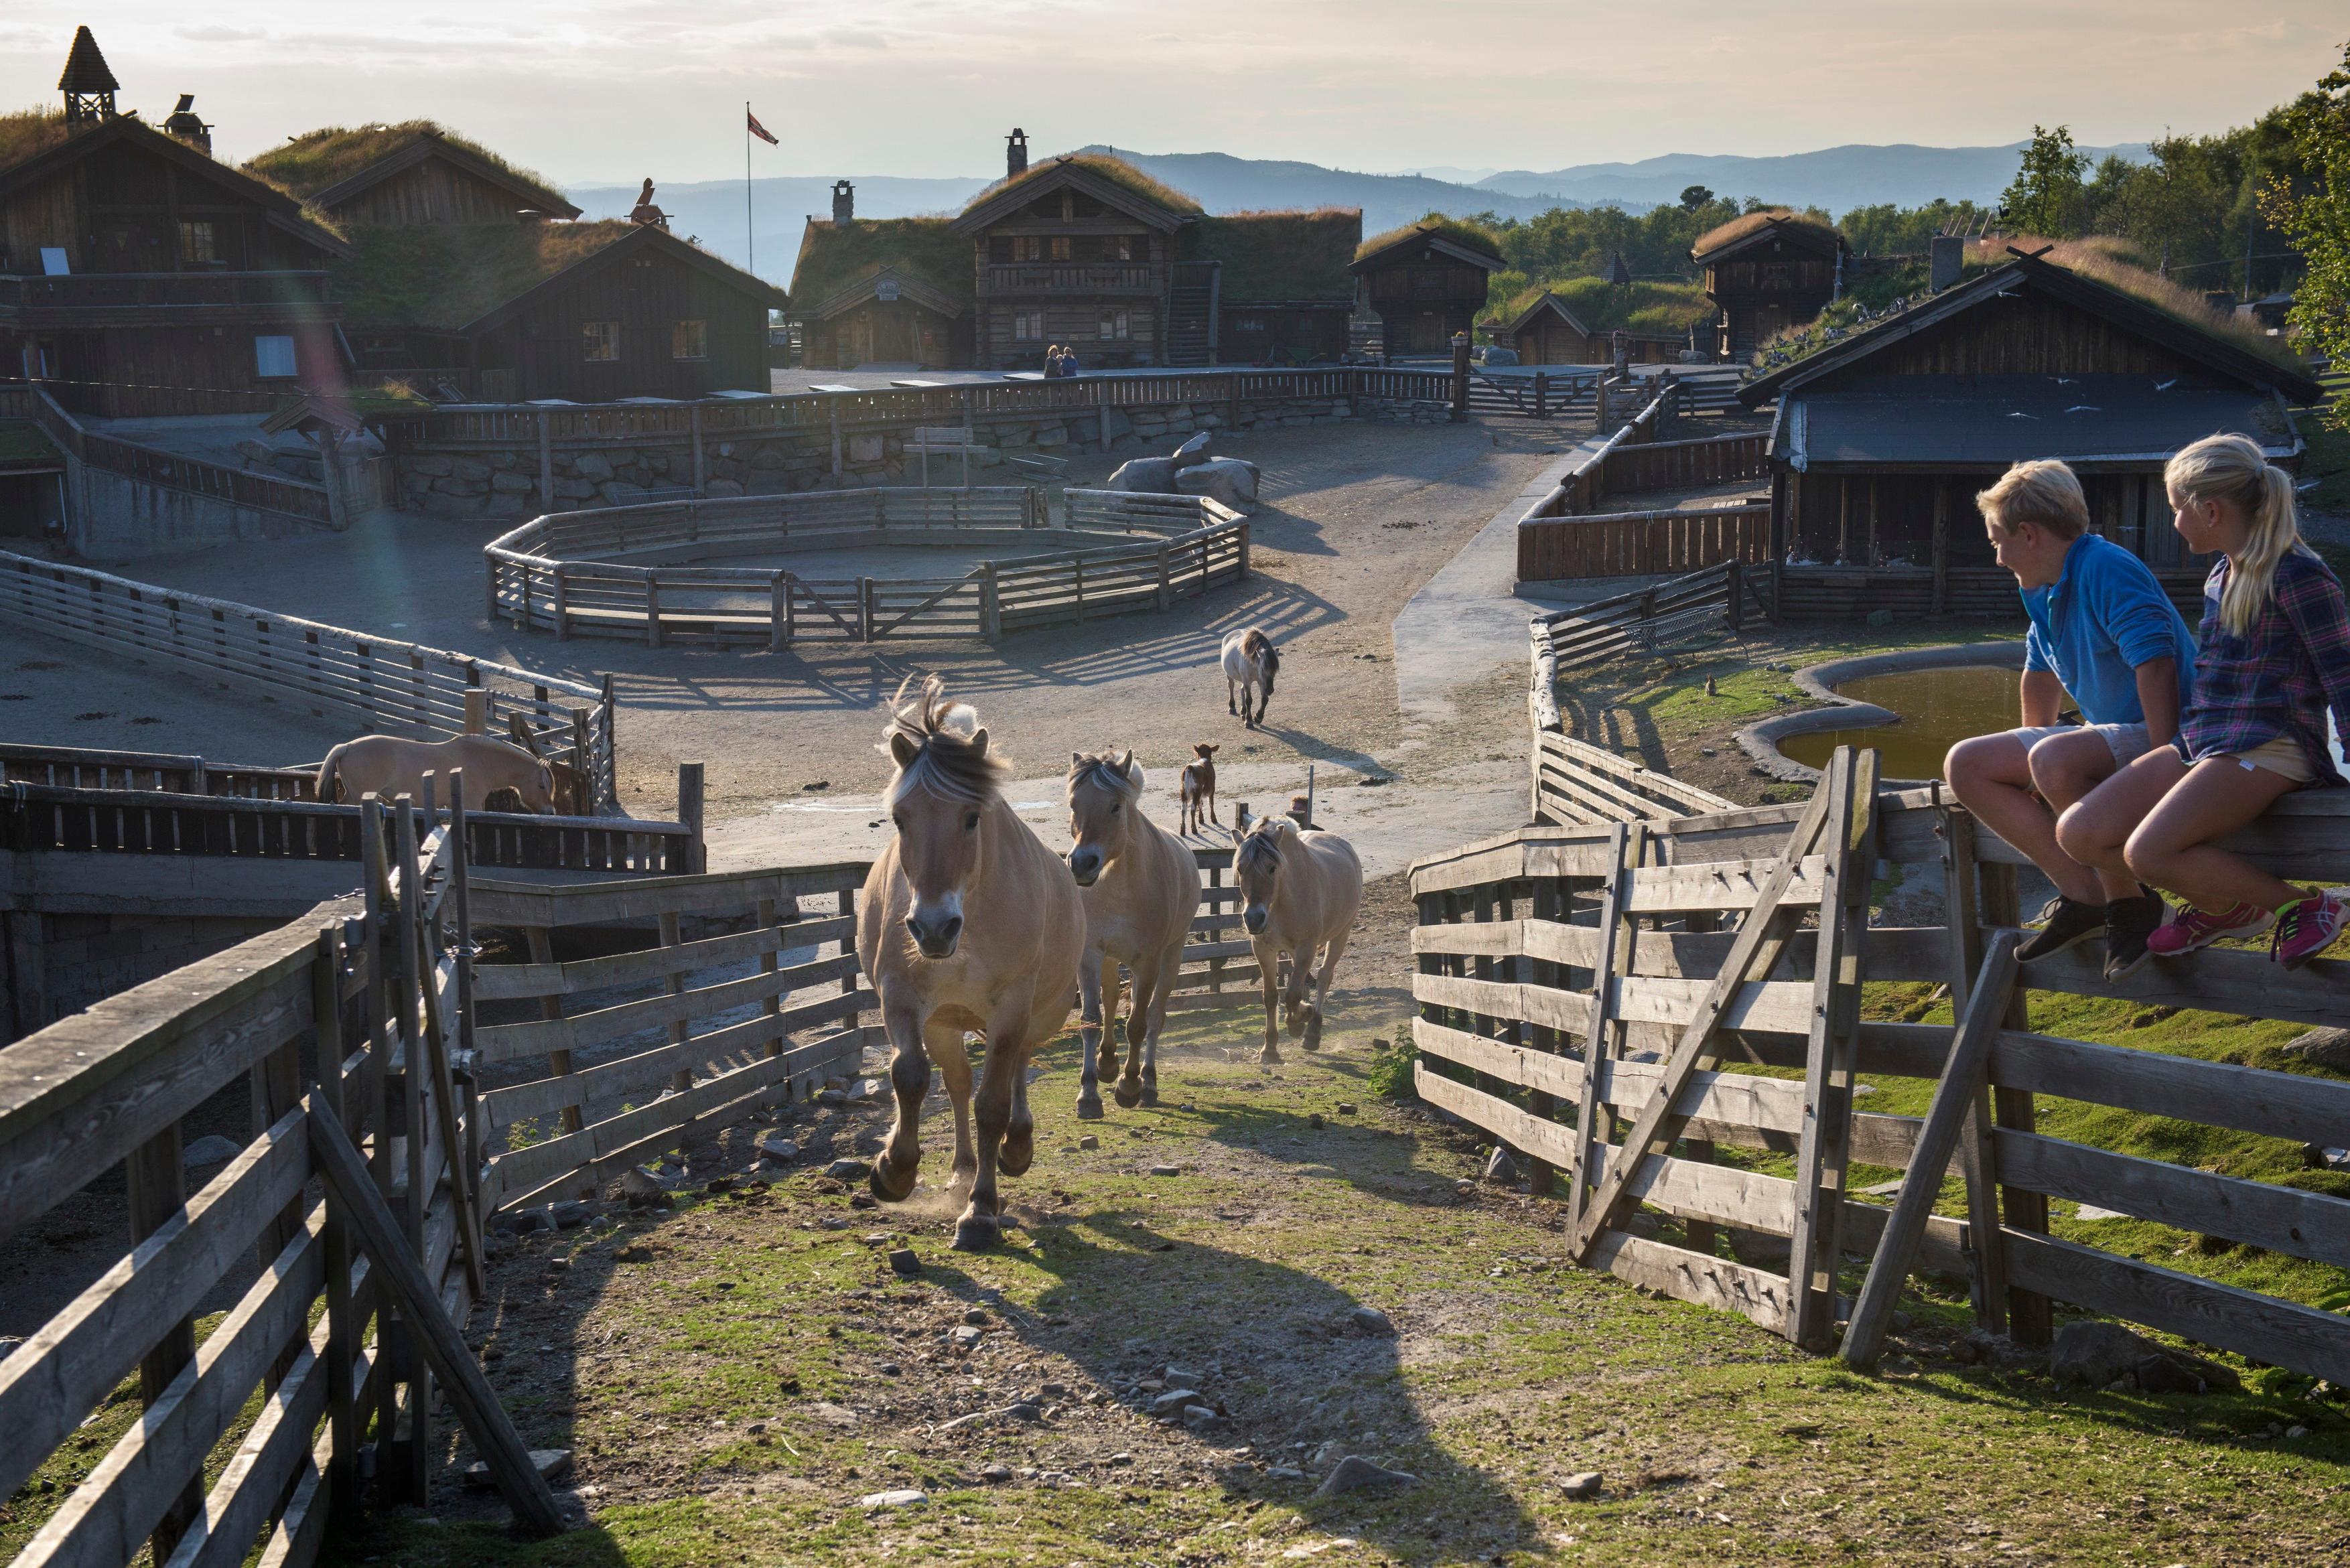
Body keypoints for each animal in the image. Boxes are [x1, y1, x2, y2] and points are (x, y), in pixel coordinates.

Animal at [858, 675, 1084, 1251]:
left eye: (971, 817)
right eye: (900, 818)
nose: (933, 927)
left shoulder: (1011, 1007)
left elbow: (993, 1105)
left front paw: (982, 1209)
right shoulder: (900, 994)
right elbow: (911, 1075)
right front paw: (894, 1169)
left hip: (1036, 1015)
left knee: (1018, 1067)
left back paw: (1014, 1149)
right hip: (944, 1022)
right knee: (957, 1081)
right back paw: (961, 1170)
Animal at [1066, 750, 1203, 1116]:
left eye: (1116, 806)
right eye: (1073, 804)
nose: (1081, 864)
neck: (1118, 887)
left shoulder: (1148, 961)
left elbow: (1138, 1024)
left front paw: (1129, 1086)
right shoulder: (1090, 955)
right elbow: (1091, 1019)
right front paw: (1089, 1093)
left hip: (1171, 956)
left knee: (1155, 1017)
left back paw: (1148, 1083)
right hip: (1112, 959)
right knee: (1113, 1000)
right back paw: (1107, 1064)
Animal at [1178, 743, 1220, 835]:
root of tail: (1189, 767)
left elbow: (1201, 803)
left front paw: (1201, 819)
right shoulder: (1212, 789)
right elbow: (1211, 803)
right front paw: (1214, 818)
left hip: (1184, 791)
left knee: (1184, 809)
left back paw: (1182, 830)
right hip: (1196, 791)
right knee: (1193, 809)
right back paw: (1194, 829)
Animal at [1221, 628, 1280, 727]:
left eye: (1275, 670)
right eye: (1263, 668)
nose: (1270, 690)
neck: (1254, 664)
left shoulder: (1261, 681)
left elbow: (1264, 699)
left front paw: (1258, 717)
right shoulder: (1248, 681)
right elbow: (1249, 700)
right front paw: (1249, 721)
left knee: (1242, 690)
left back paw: (1243, 712)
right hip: (1230, 675)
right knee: (1231, 686)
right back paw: (1232, 707)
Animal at [1232, 811, 1361, 1064]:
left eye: (1272, 868)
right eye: (1240, 869)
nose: (1253, 919)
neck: (1280, 903)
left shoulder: (1306, 949)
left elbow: (1292, 995)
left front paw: (1298, 1022)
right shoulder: (1264, 949)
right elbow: (1272, 996)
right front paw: (1270, 1048)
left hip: (1341, 934)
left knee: (1324, 977)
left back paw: (1313, 1032)